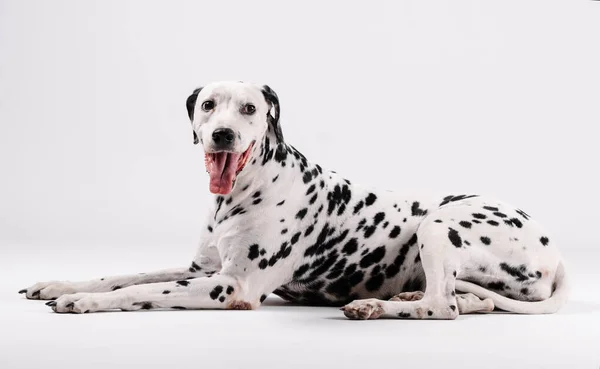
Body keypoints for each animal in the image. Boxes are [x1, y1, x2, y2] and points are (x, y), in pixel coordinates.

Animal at [18, 81, 568, 320]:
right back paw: (404, 299)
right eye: (208, 104)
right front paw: (58, 283)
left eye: (250, 108)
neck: (244, 190)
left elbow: (139, 291)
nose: (221, 134)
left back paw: (375, 306)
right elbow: (125, 275)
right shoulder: (201, 269)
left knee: (443, 307)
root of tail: (554, 250)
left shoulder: (230, 287)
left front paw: (85, 301)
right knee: (467, 300)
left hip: (438, 223)